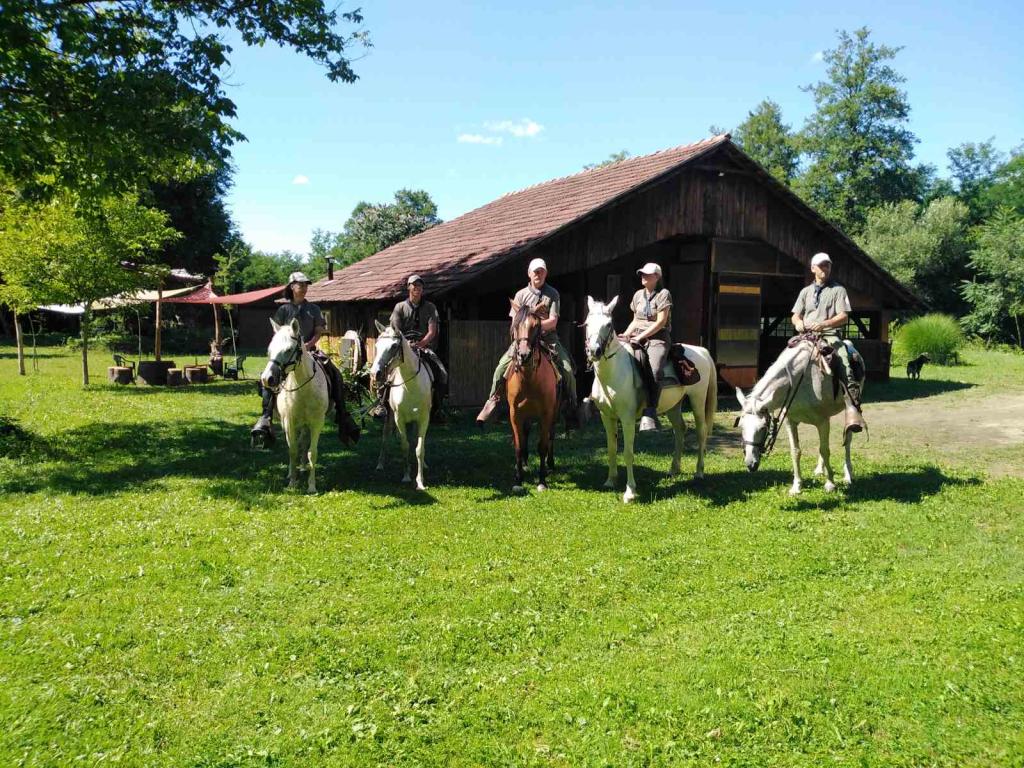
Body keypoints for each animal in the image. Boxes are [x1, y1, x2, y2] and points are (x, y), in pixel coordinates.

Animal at [260, 318, 331, 493]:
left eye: (289, 349)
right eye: (270, 349)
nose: (267, 379)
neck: (303, 388)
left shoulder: (317, 423)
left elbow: (312, 452)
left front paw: (311, 486)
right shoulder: (289, 423)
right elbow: (292, 450)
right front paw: (292, 482)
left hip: (306, 424)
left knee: (304, 443)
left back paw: (304, 467)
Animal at [369, 321, 433, 490]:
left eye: (393, 346)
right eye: (377, 345)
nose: (375, 373)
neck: (411, 386)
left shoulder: (423, 419)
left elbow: (419, 448)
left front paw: (420, 481)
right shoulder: (399, 419)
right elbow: (404, 446)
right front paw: (406, 476)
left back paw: (424, 464)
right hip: (390, 416)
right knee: (385, 437)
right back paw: (379, 464)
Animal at [507, 301, 560, 493]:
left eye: (536, 326)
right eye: (516, 325)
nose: (524, 355)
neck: (529, 379)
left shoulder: (546, 413)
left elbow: (542, 446)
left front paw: (542, 480)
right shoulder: (515, 414)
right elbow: (518, 445)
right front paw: (518, 479)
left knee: (551, 435)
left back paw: (550, 464)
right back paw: (525, 463)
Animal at [583, 296, 717, 503]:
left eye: (608, 324)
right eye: (588, 323)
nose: (594, 351)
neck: (613, 373)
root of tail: (702, 351)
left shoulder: (627, 419)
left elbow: (628, 453)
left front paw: (630, 492)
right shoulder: (607, 416)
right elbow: (611, 449)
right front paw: (610, 481)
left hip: (697, 399)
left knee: (701, 432)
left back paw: (699, 472)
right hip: (674, 406)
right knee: (680, 430)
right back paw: (673, 469)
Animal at [735, 334, 865, 495]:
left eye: (763, 427)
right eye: (741, 426)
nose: (750, 464)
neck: (799, 380)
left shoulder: (822, 421)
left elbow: (825, 450)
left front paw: (830, 484)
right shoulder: (791, 422)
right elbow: (796, 451)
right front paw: (796, 486)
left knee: (847, 440)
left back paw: (848, 475)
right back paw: (819, 470)